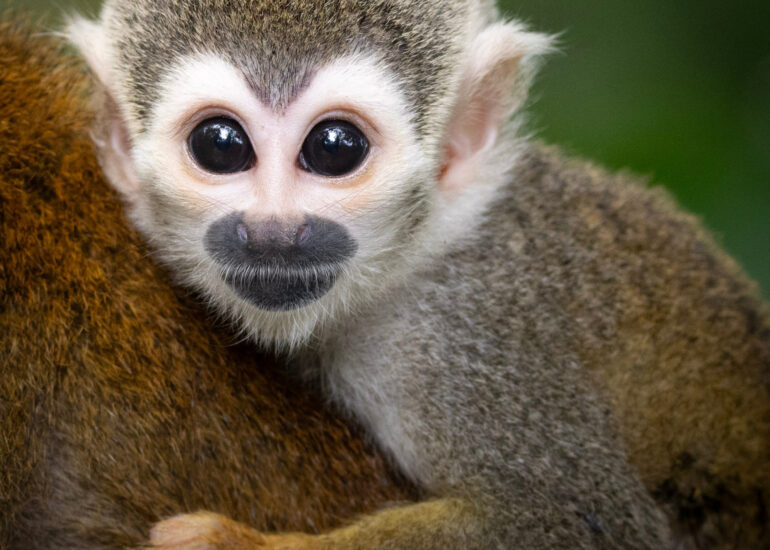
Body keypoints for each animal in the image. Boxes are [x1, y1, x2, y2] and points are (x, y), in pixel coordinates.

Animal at [67, 0, 770, 548]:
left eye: (335, 148)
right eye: (221, 144)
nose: (273, 232)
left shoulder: (461, 340)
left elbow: (579, 522)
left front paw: (243, 546)